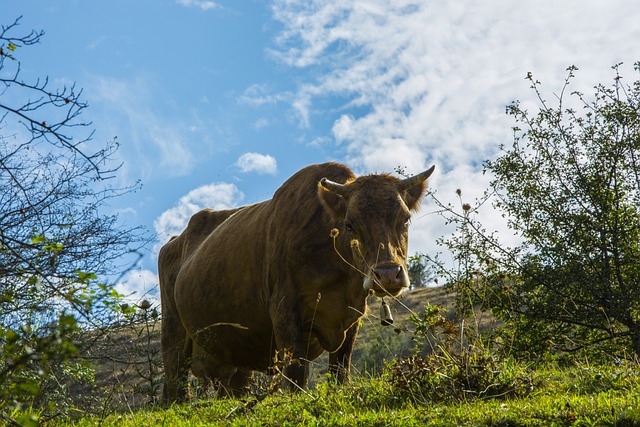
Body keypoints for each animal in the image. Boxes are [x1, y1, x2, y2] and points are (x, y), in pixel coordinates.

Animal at [160, 162, 436, 402]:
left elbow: (340, 372)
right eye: (349, 225)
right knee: (174, 387)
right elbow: (295, 375)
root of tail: (175, 240)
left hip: (236, 360)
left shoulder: (352, 317)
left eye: (405, 219)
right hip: (174, 339)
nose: (388, 273)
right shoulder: (285, 312)